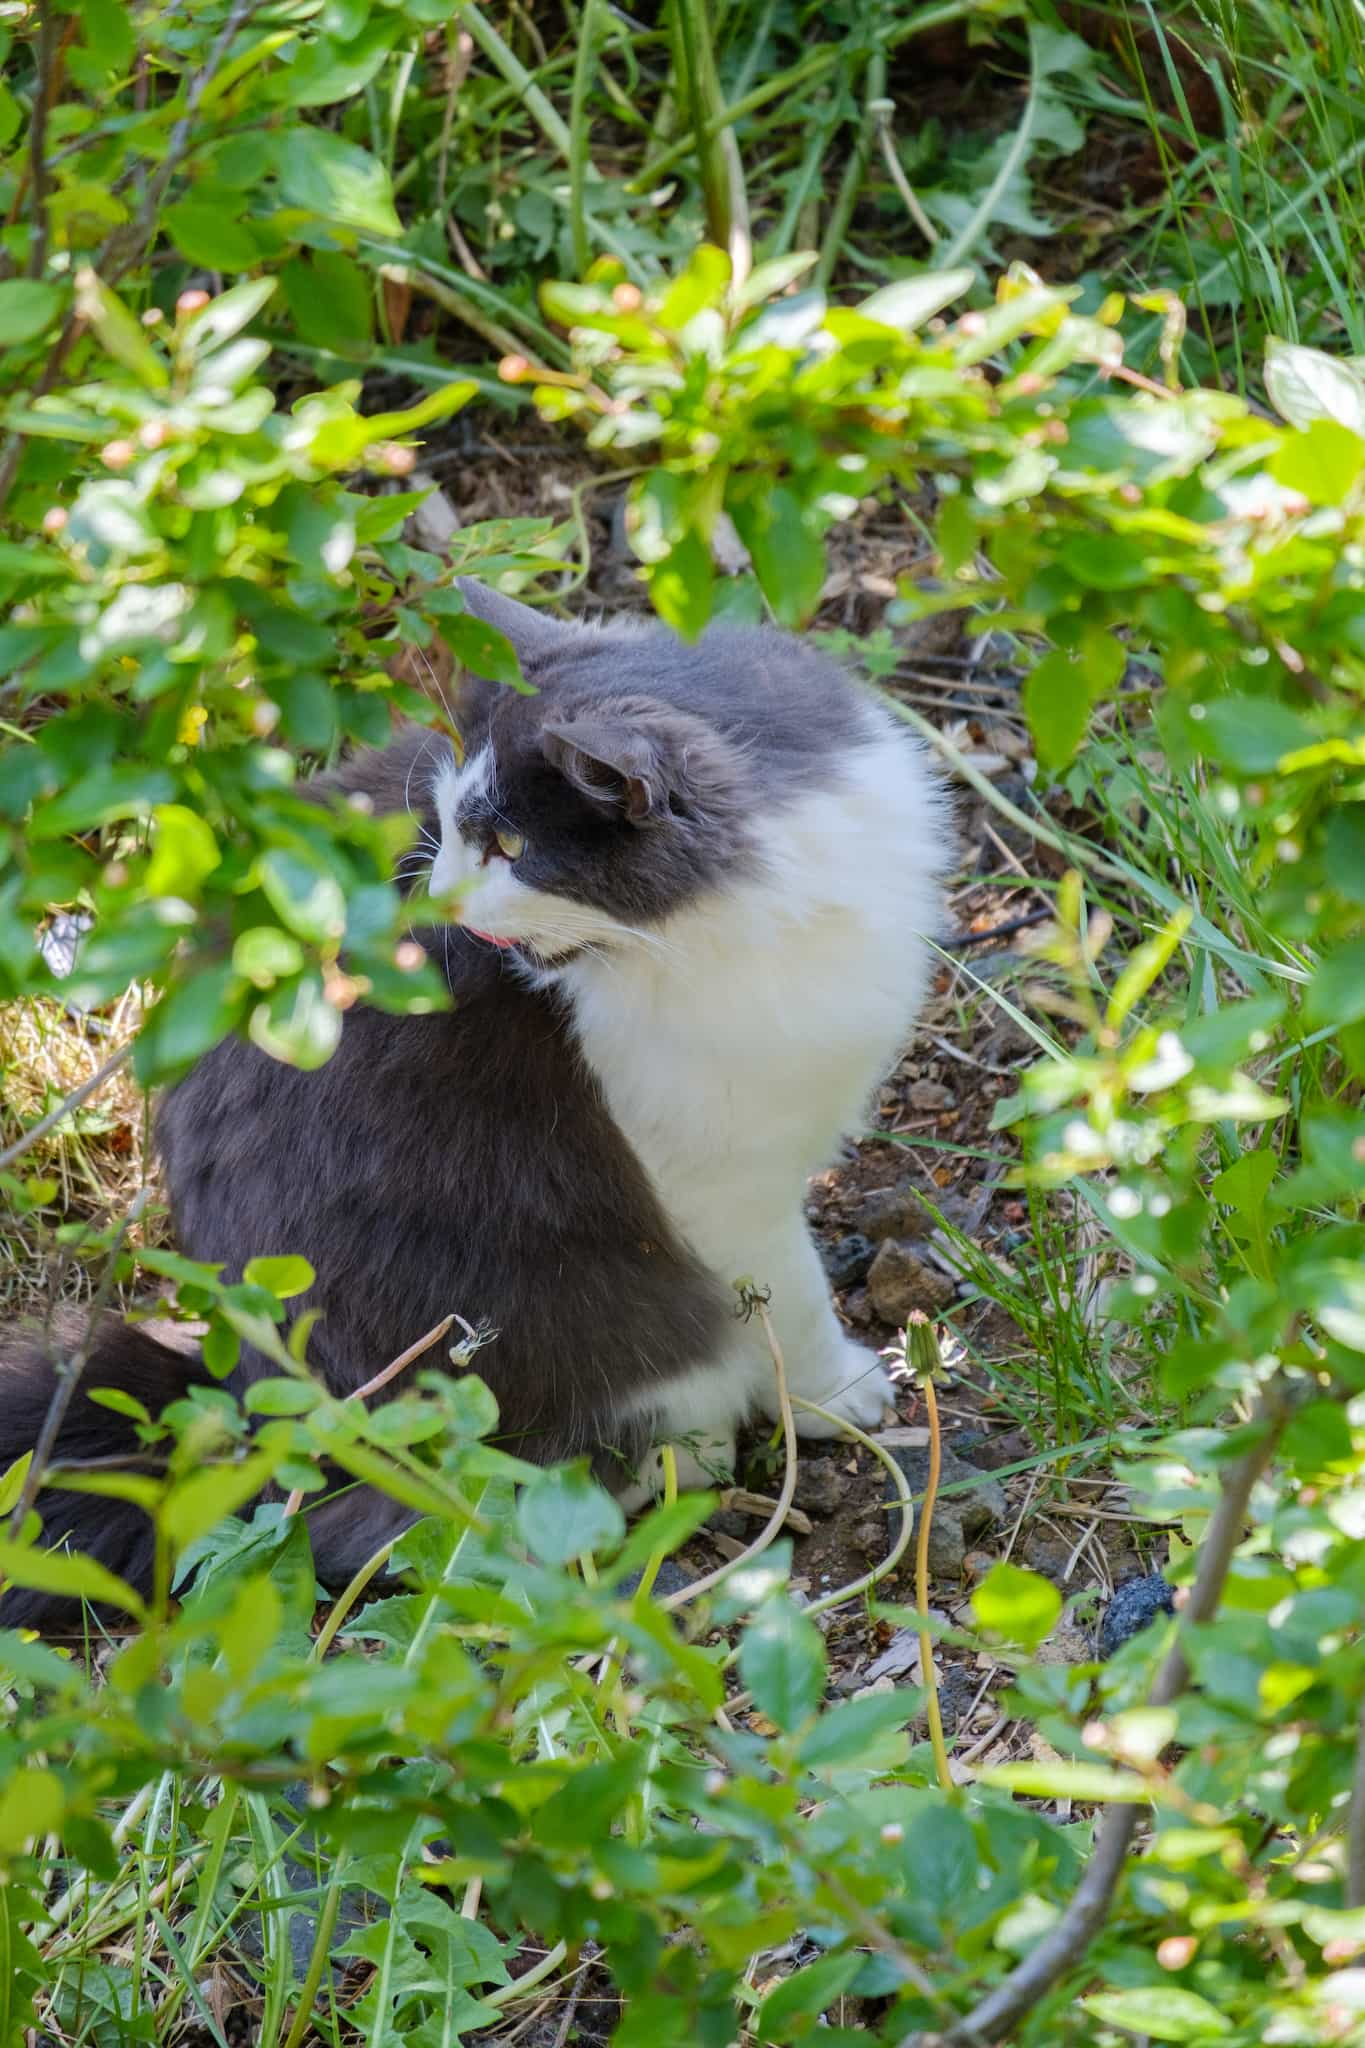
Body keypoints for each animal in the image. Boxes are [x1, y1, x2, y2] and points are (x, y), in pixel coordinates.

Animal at [0, 581, 949, 1630]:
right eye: (454, 826)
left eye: (508, 846)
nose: (435, 900)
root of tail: (249, 1413)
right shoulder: (719, 1179)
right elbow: (790, 1298)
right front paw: (840, 1394)